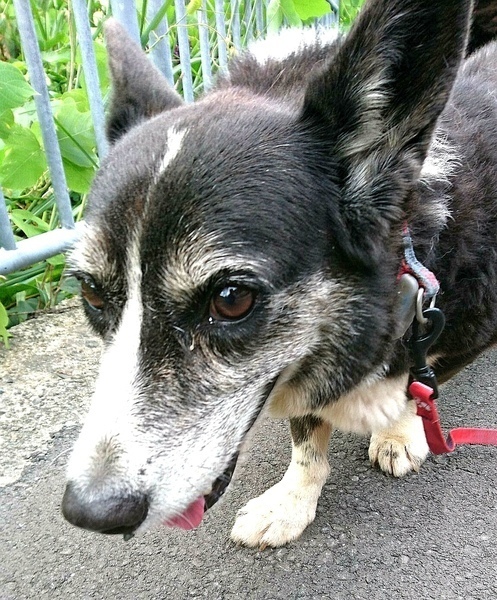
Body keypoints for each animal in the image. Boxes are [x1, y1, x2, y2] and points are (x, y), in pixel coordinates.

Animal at [61, 0, 497, 548]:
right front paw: (290, 503)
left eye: (231, 299)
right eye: (92, 293)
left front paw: (398, 432)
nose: (91, 513)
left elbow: (415, 390)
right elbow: (307, 441)